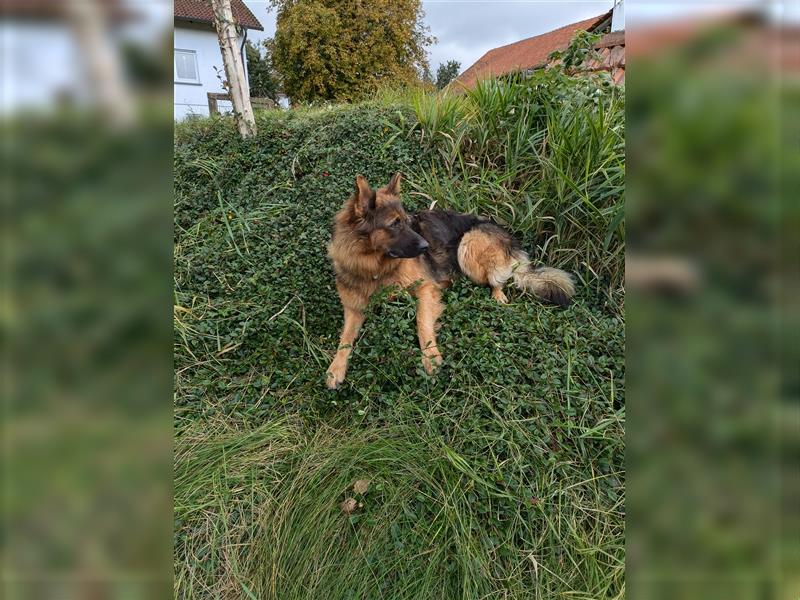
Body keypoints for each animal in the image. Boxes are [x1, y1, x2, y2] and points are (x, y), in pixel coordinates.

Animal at [324, 173, 576, 390]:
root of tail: (507, 234)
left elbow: (421, 322)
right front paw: (335, 369)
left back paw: (498, 297)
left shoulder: (425, 288)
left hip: (468, 245)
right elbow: (345, 339)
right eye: (395, 224)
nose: (426, 246)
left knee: (497, 279)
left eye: (406, 221)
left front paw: (431, 357)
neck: (376, 268)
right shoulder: (354, 308)